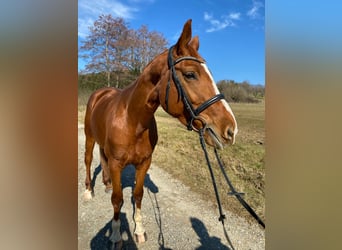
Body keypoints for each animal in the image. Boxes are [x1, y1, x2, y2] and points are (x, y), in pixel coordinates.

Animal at [83, 19, 238, 248]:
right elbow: (118, 200)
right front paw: (116, 235)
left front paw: (139, 231)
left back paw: (107, 183)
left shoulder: (144, 163)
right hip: (89, 137)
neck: (133, 120)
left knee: (102, 159)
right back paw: (88, 191)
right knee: (87, 161)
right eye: (190, 74)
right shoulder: (117, 164)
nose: (230, 129)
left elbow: (137, 195)